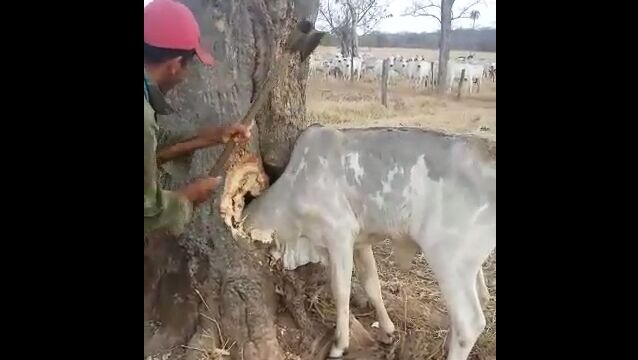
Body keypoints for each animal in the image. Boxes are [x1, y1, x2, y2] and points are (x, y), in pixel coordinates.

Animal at [242, 126, 498, 360]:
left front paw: (339, 345)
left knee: (469, 322)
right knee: (481, 297)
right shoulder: (360, 243)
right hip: (466, 263)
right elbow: (371, 285)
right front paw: (387, 331)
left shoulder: (340, 234)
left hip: (447, 259)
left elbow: (341, 290)